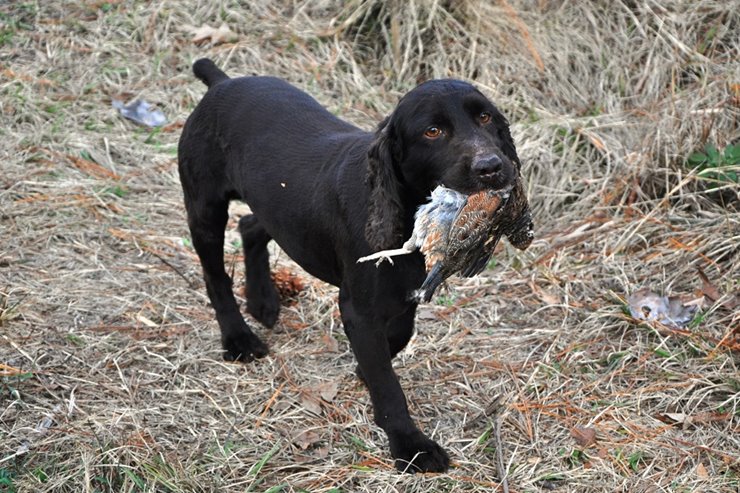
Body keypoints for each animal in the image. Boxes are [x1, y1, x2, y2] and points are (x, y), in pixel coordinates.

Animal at [178, 58, 520, 472]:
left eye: (485, 117)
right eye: (433, 131)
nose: (492, 166)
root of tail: (220, 83)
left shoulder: (404, 288)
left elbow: (398, 335)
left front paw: (365, 372)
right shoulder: (358, 307)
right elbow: (387, 382)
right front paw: (410, 445)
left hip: (278, 208)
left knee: (251, 225)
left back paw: (263, 301)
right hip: (205, 208)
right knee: (215, 276)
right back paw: (239, 338)